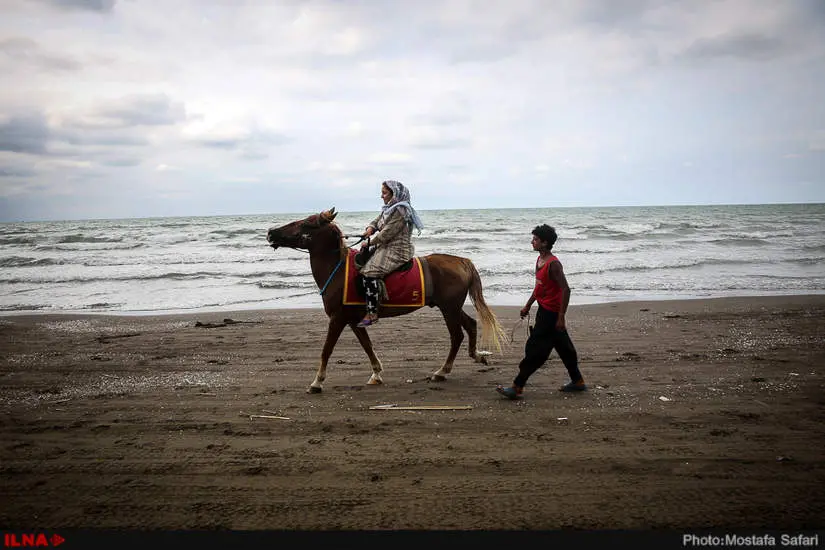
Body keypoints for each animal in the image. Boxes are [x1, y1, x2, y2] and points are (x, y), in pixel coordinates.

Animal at [268, 206, 506, 392]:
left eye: (307, 223)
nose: (271, 232)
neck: (339, 269)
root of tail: (461, 261)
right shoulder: (353, 320)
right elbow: (367, 345)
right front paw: (376, 374)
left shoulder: (337, 319)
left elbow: (327, 349)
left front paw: (317, 382)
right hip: (451, 307)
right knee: (471, 325)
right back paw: (476, 356)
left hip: (449, 309)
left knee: (457, 336)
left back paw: (442, 371)